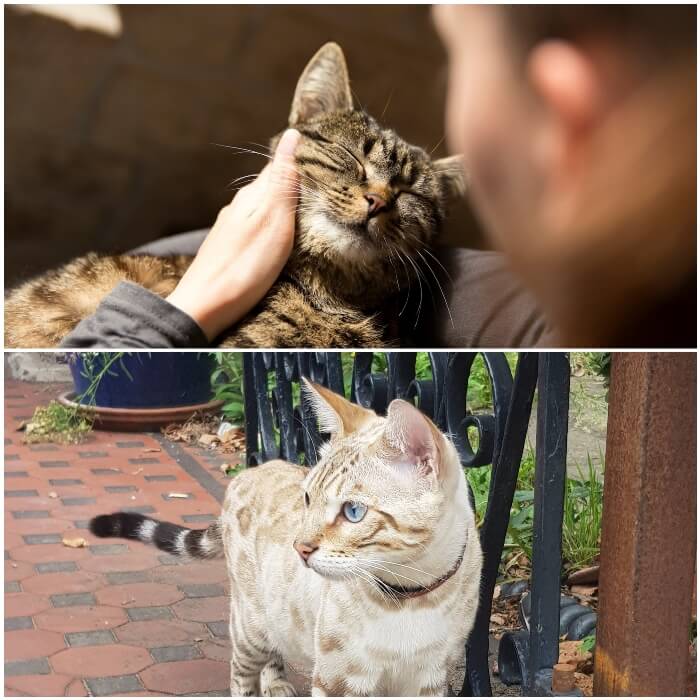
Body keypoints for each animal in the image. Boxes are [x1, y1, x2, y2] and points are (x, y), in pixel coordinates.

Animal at [90, 380, 482, 696]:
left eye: (353, 511)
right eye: (308, 498)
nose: (300, 548)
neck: (411, 592)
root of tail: (247, 472)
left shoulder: (430, 678)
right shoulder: (340, 680)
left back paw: (276, 684)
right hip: (251, 627)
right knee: (241, 672)